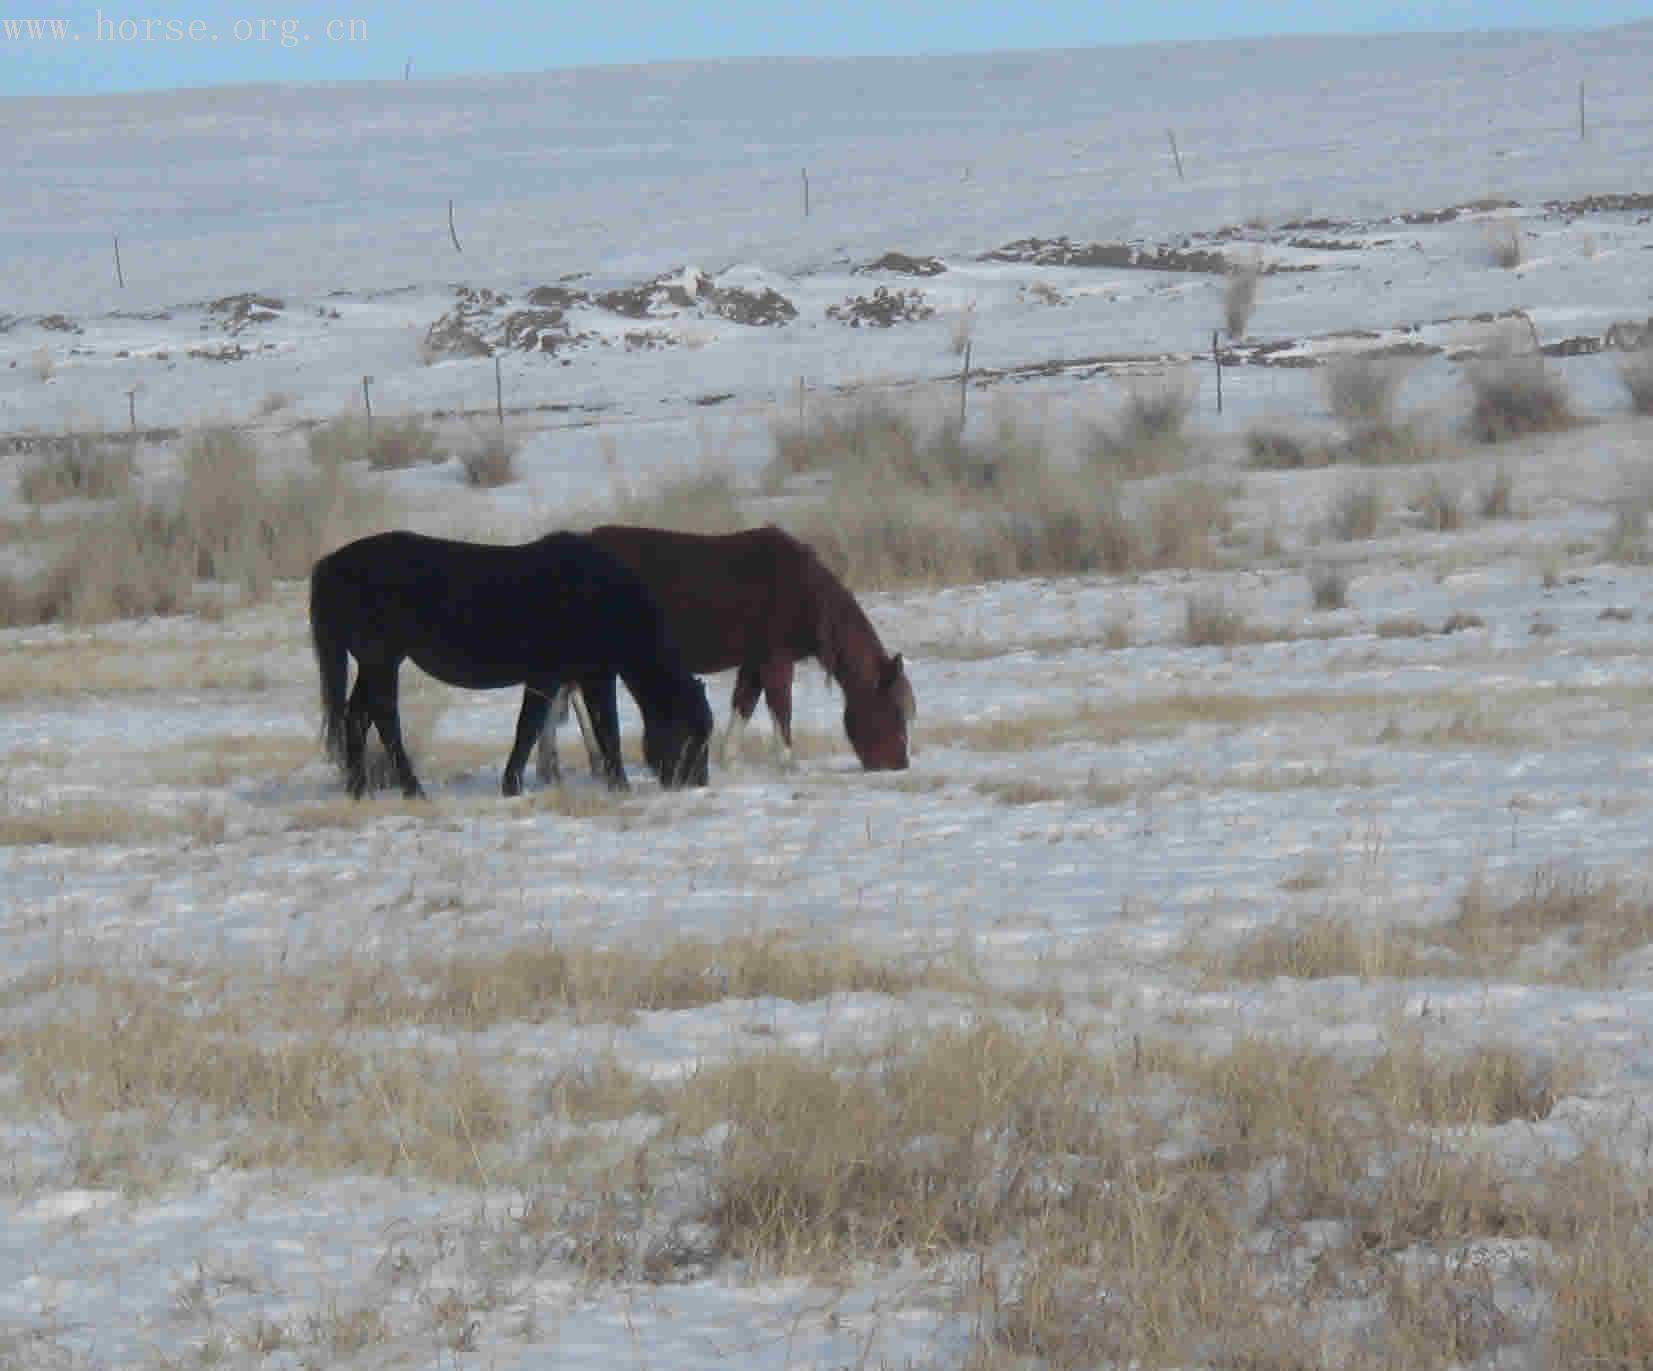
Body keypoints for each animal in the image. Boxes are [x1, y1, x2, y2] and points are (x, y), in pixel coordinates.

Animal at [310, 529, 710, 797]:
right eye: (691, 733)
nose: (696, 783)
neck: (602, 597)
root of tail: (332, 563)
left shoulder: (586, 676)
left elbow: (597, 727)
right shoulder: (555, 677)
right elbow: (537, 727)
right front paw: (513, 784)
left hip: (374, 663)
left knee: (355, 717)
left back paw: (358, 788)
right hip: (381, 661)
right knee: (384, 718)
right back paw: (411, 789)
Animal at [532, 522, 912, 780]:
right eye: (893, 710)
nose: (898, 765)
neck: (805, 592)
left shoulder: (755, 662)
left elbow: (744, 704)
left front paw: (729, 759)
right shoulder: (775, 660)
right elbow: (781, 709)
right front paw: (788, 763)